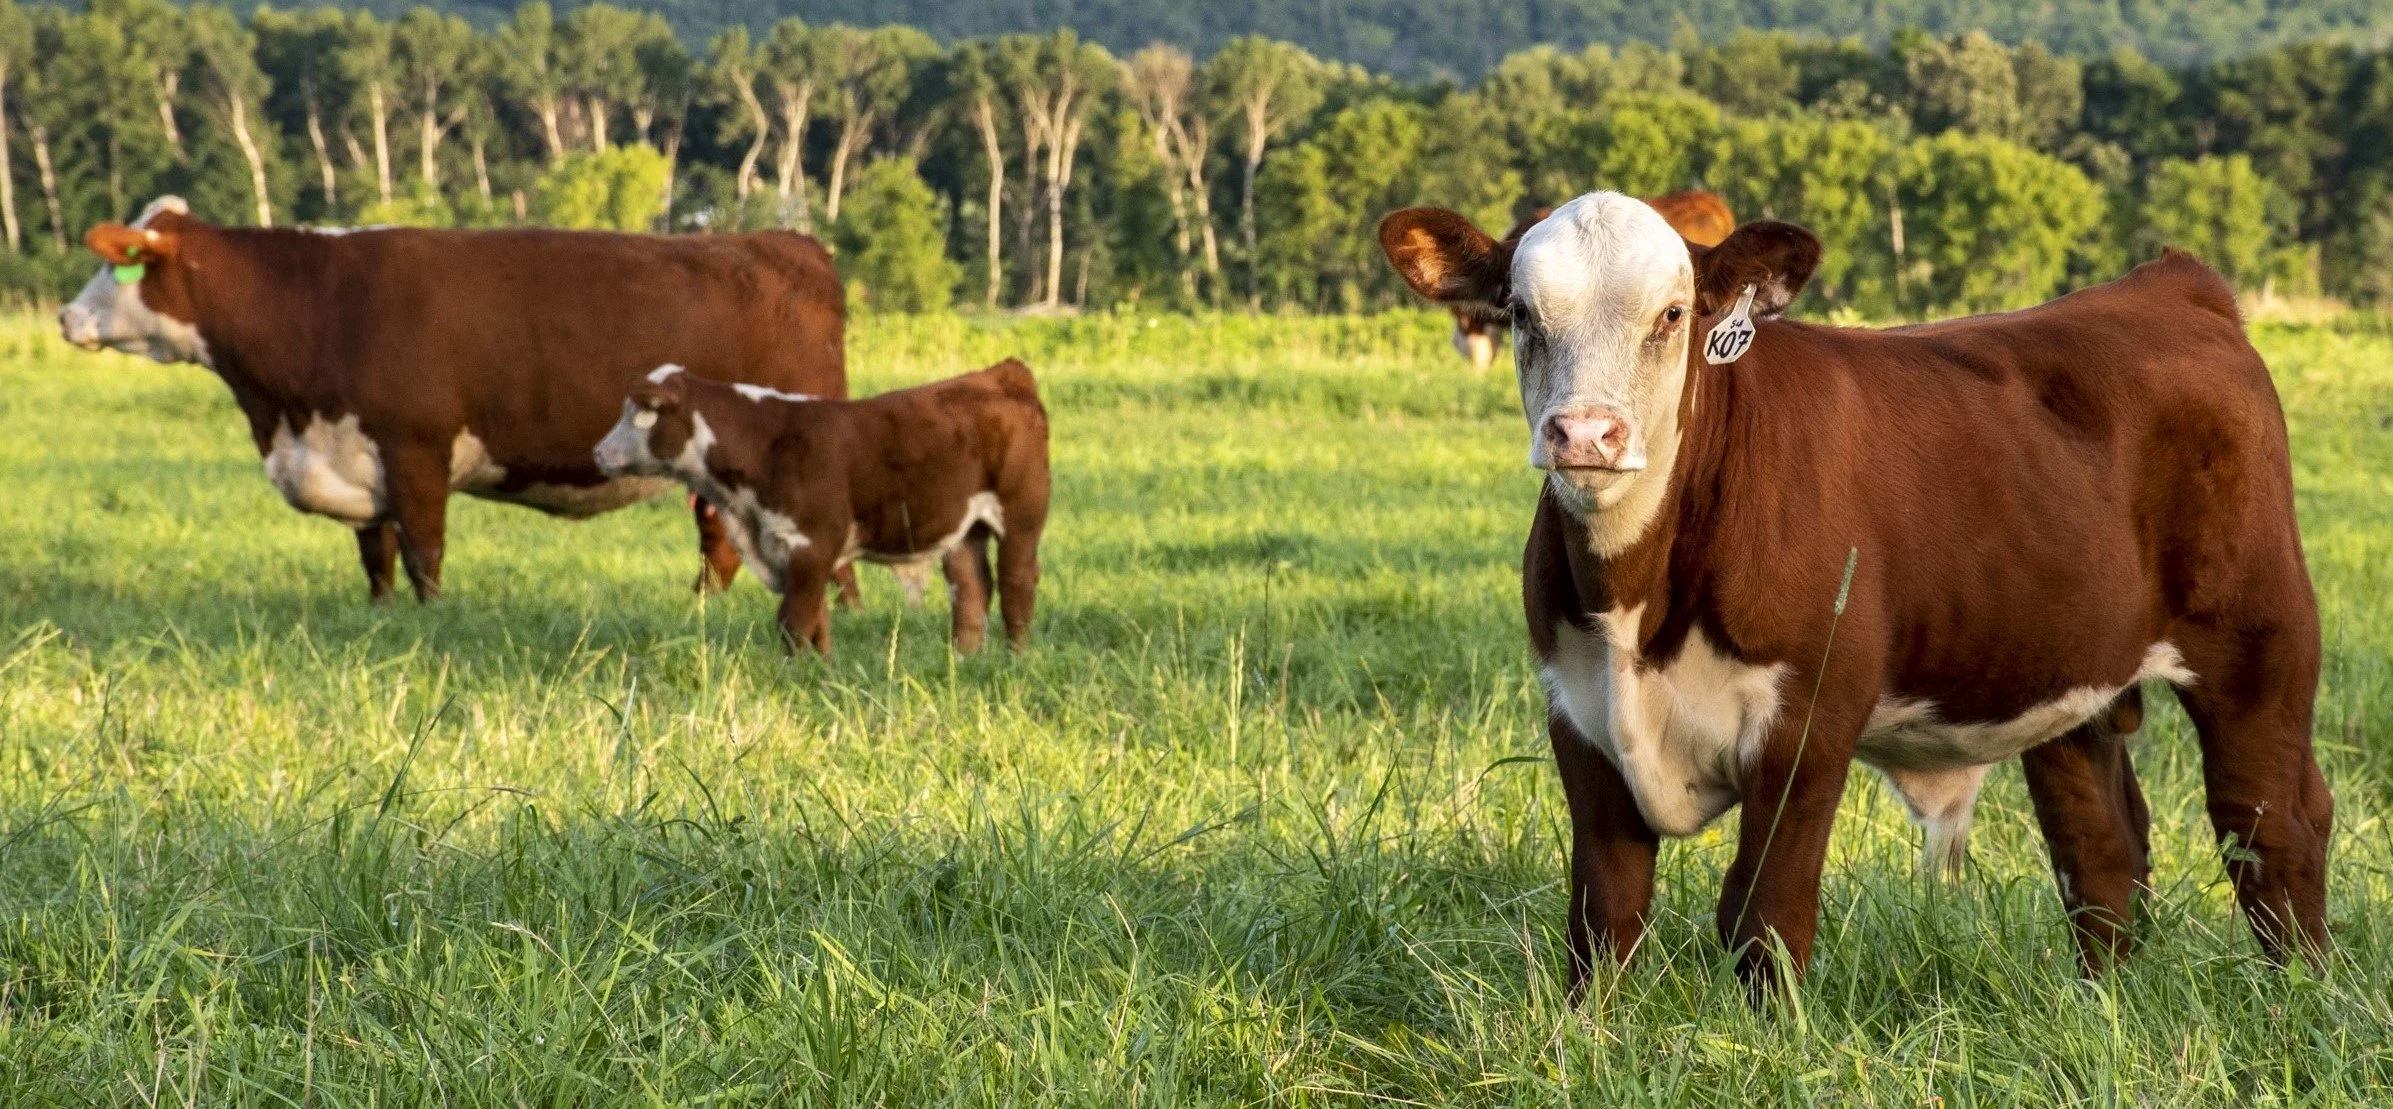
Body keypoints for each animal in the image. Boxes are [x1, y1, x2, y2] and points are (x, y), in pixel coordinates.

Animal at [58, 196, 856, 604]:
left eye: (119, 263)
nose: (66, 317)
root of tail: (789, 244)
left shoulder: (416, 447)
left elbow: (424, 551)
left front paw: (432, 618)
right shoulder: (358, 453)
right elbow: (375, 554)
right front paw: (381, 616)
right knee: (718, 543)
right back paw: (705, 613)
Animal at [594, 360, 1051, 656]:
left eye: (642, 413)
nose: (598, 452)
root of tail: (1000, 373)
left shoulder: (811, 542)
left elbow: (794, 620)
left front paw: (792, 672)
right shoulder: (795, 549)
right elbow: (818, 619)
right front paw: (823, 669)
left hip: (1021, 517)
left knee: (1016, 585)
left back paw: (1016, 658)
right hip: (964, 528)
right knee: (971, 589)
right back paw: (964, 659)